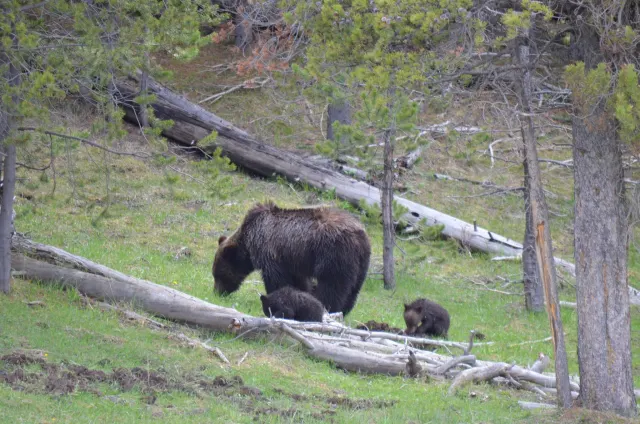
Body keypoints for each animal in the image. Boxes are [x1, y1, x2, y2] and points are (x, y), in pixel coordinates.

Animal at [212, 201, 371, 316]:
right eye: (215, 274)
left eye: (219, 275)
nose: (217, 293)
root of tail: (359, 236)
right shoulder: (293, 260)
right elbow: (299, 283)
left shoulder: (271, 253)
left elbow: (277, 280)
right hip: (361, 264)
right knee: (353, 290)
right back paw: (344, 311)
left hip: (334, 254)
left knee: (332, 285)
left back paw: (328, 307)